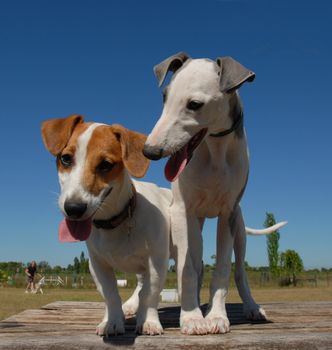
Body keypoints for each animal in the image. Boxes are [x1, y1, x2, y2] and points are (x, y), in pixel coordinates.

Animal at [41, 115, 171, 336]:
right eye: (65, 158)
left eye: (105, 165)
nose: (73, 208)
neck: (115, 221)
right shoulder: (97, 264)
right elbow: (111, 295)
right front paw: (112, 321)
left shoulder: (156, 262)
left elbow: (151, 293)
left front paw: (149, 321)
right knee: (140, 284)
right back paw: (130, 305)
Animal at [144, 52, 286, 334]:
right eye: (165, 96)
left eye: (195, 104)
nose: (150, 151)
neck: (215, 149)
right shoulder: (182, 211)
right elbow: (187, 270)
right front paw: (192, 317)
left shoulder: (227, 213)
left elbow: (222, 271)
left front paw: (217, 316)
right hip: (193, 229)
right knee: (196, 265)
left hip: (239, 231)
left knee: (239, 272)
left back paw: (251, 307)